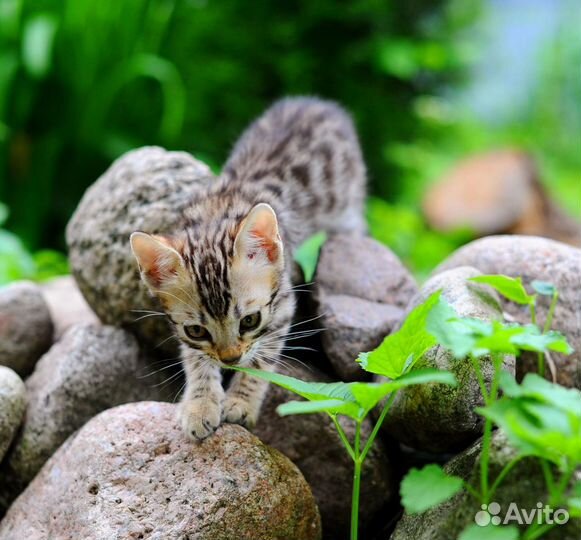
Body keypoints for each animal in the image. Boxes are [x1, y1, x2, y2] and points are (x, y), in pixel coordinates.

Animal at [132, 97, 368, 440]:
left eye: (250, 320)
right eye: (197, 330)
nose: (230, 359)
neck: (218, 212)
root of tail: (316, 102)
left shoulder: (282, 303)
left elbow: (261, 358)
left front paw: (240, 402)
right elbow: (195, 357)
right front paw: (200, 403)